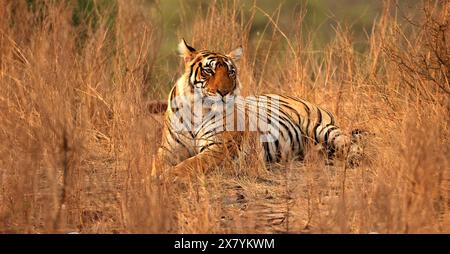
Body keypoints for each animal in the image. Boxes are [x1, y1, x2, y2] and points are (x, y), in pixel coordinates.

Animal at [154, 39, 362, 179]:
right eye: (209, 71)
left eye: (231, 72)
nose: (224, 92)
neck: (197, 110)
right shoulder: (169, 148)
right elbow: (157, 164)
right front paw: (153, 178)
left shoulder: (219, 148)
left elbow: (188, 166)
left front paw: (165, 178)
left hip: (322, 128)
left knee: (350, 142)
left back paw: (352, 157)